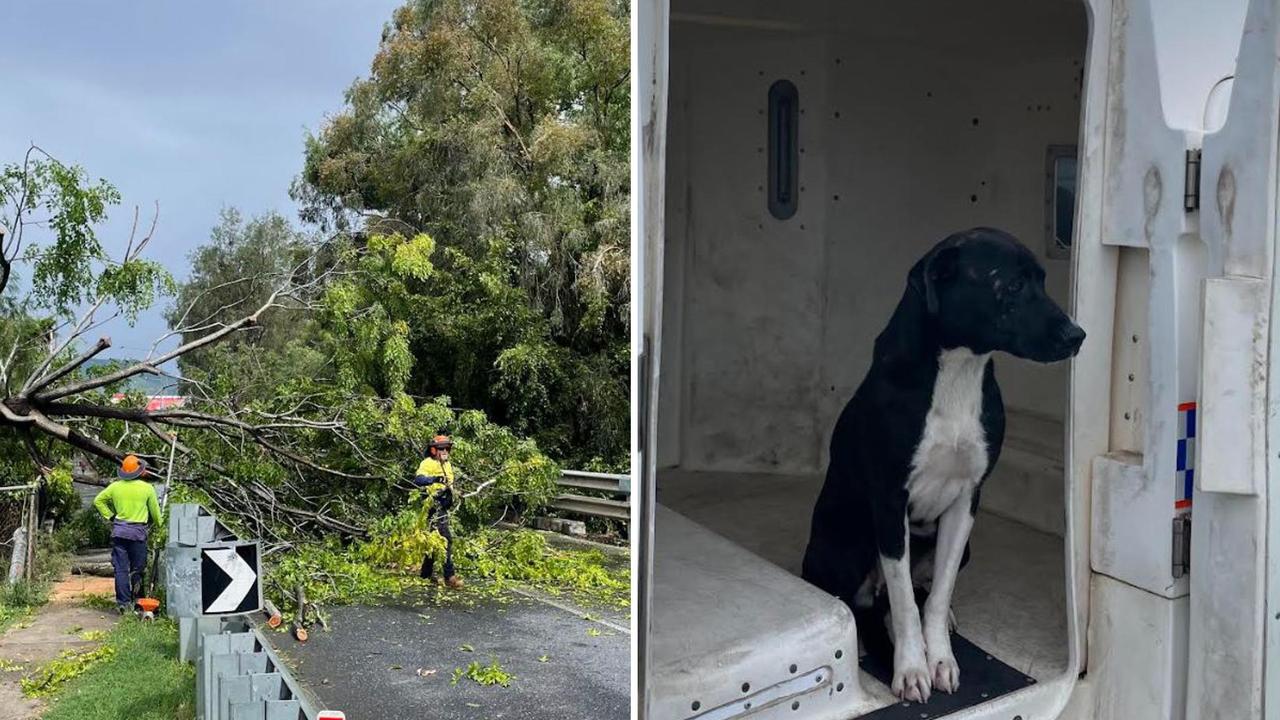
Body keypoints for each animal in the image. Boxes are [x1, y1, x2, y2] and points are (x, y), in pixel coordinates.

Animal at [803, 228, 1085, 702]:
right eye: (1011, 285)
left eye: (1043, 282)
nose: (1077, 335)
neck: (957, 370)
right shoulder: (889, 501)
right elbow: (903, 604)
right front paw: (911, 668)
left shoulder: (966, 499)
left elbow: (935, 594)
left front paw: (940, 658)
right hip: (848, 539)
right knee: (861, 597)